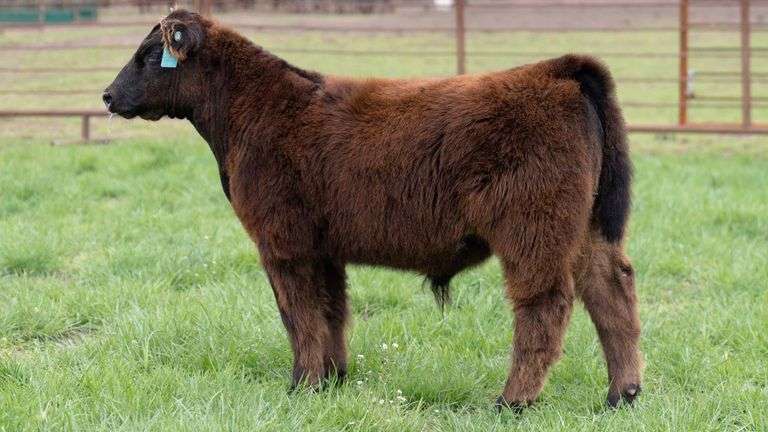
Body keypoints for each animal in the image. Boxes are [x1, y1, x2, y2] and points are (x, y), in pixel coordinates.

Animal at [103, 9, 642, 410]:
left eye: (150, 55)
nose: (107, 96)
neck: (254, 109)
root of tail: (557, 68)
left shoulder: (284, 244)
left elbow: (298, 314)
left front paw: (301, 385)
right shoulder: (324, 248)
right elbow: (331, 311)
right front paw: (332, 379)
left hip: (534, 232)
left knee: (545, 306)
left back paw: (513, 401)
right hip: (589, 231)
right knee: (612, 293)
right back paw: (623, 394)